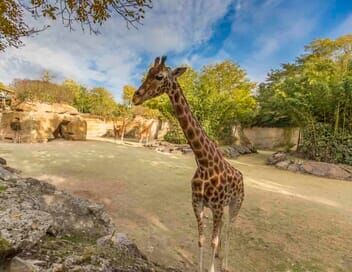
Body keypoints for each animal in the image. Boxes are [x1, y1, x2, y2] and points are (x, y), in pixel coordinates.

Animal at [132, 55, 245, 272]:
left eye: (159, 76)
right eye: (148, 72)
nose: (135, 97)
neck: (204, 162)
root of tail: (241, 175)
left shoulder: (218, 206)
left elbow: (212, 241)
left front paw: (213, 268)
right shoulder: (197, 203)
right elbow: (201, 240)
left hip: (236, 203)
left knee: (229, 229)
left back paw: (225, 263)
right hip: (220, 207)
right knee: (223, 228)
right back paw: (220, 257)